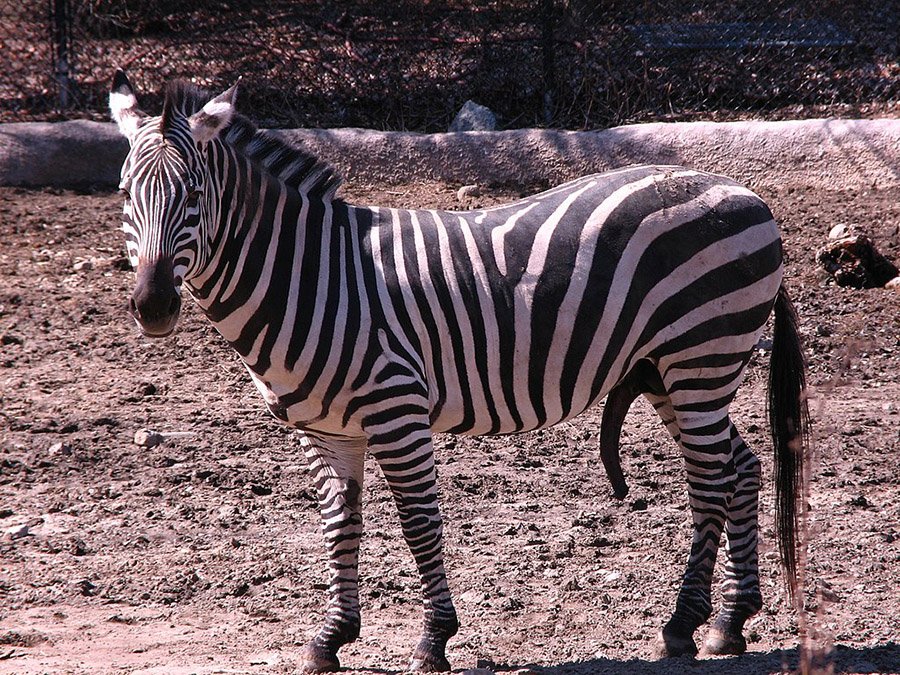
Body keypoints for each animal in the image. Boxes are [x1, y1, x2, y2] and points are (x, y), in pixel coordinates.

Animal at [109, 71, 808, 672]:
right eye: (123, 194)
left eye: (194, 194)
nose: (153, 306)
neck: (313, 276)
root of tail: (745, 192)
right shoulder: (326, 430)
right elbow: (340, 526)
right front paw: (330, 638)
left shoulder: (396, 410)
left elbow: (418, 522)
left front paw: (433, 640)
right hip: (675, 370)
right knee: (742, 468)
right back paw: (730, 623)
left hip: (700, 355)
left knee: (713, 480)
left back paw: (682, 625)